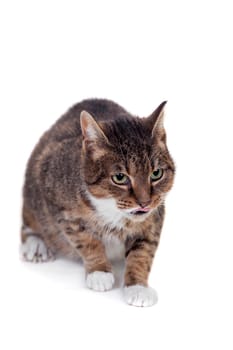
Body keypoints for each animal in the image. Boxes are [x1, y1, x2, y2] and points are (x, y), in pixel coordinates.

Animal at [20, 98, 175, 306]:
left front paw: (138, 286)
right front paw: (100, 271)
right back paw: (36, 244)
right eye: (120, 177)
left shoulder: (155, 216)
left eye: (156, 174)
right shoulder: (60, 206)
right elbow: (85, 239)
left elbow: (143, 251)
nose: (145, 202)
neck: (114, 212)